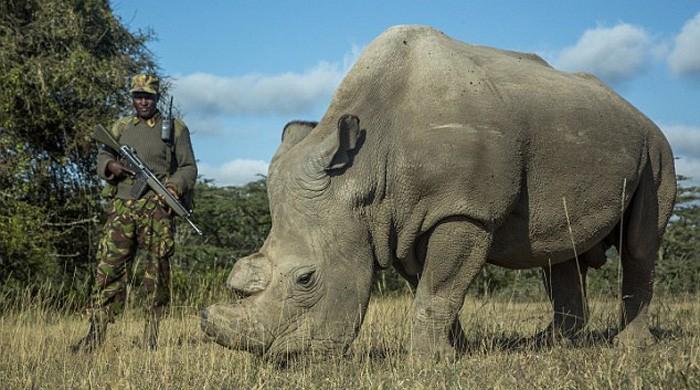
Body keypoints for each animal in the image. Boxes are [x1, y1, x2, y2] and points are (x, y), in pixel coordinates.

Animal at [201, 24, 680, 360]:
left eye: (306, 278)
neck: (365, 171)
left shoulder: (463, 210)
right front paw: (454, 353)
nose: (281, 359)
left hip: (657, 148)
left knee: (639, 247)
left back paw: (629, 348)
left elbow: (441, 287)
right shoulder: (402, 221)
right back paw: (549, 345)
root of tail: (632, 108)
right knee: (558, 250)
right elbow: (431, 287)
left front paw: (427, 362)